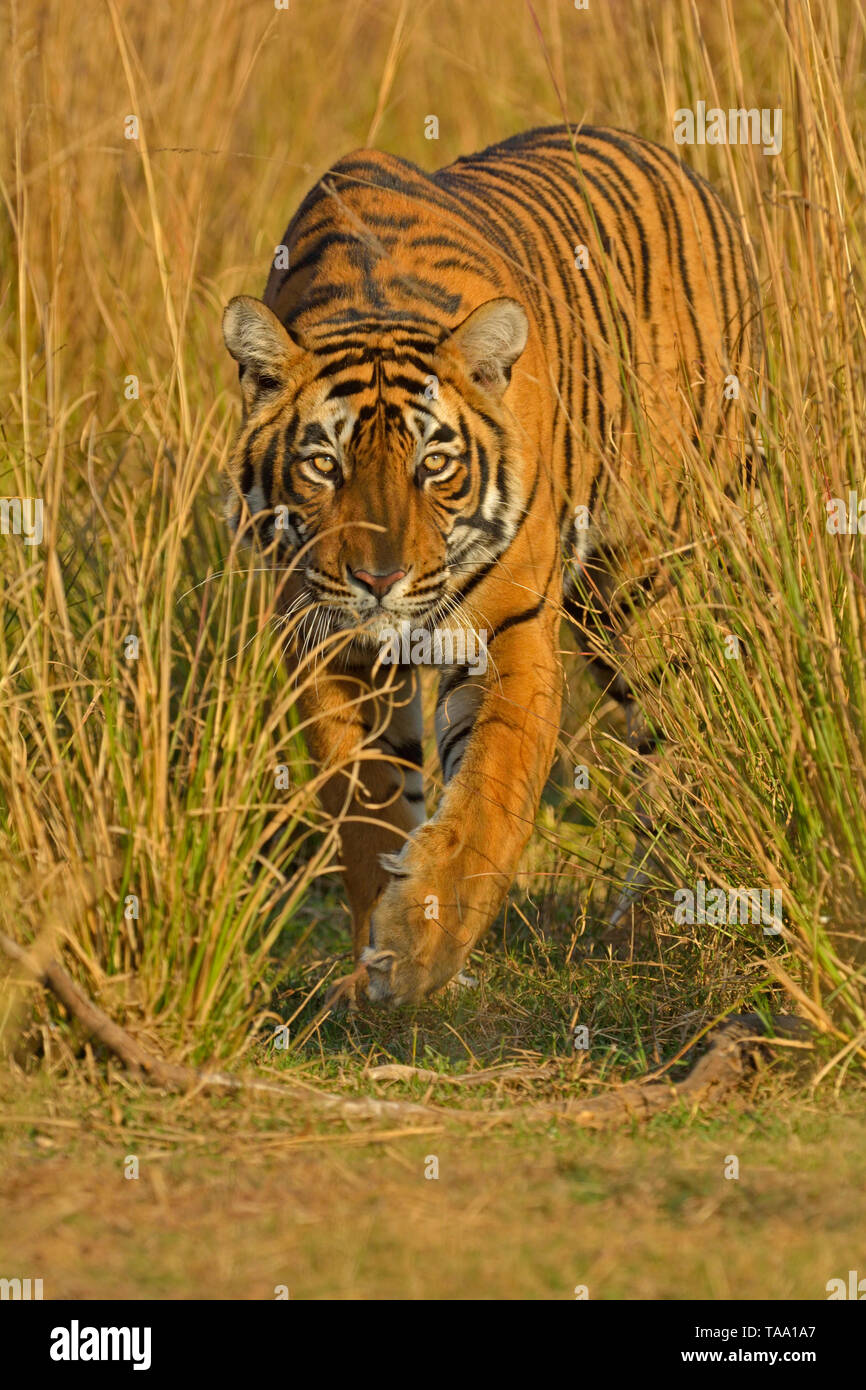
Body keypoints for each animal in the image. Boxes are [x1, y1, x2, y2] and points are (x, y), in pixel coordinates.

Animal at [221, 124, 763, 1007]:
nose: (379, 582)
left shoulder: (509, 628)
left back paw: (646, 927)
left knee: (680, 737)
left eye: (434, 465)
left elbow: (490, 795)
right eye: (324, 465)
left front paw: (422, 947)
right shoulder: (327, 638)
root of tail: (682, 165)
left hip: (648, 581)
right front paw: (372, 963)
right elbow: (366, 804)